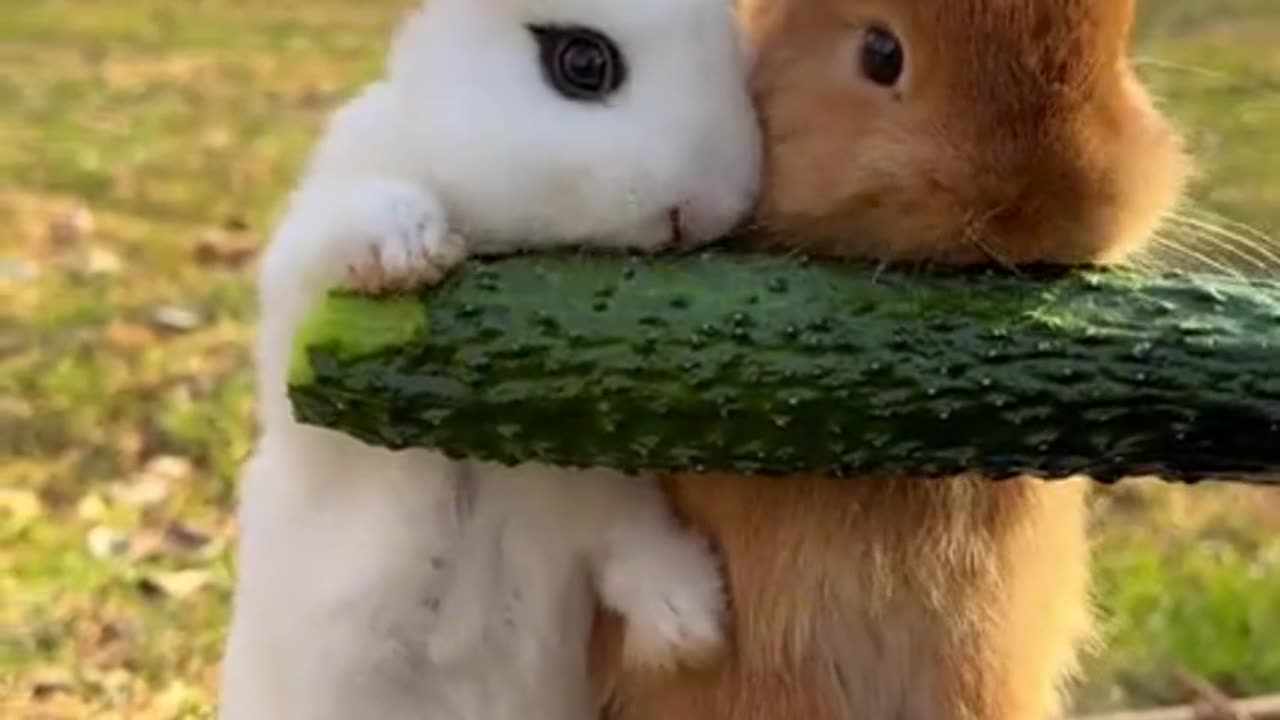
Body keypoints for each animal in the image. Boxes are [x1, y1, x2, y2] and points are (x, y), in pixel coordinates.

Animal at [216, 0, 762, 712]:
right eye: (583, 62)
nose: (703, 209)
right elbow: (338, 235)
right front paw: (408, 249)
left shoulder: (598, 474)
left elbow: (627, 529)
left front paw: (690, 626)